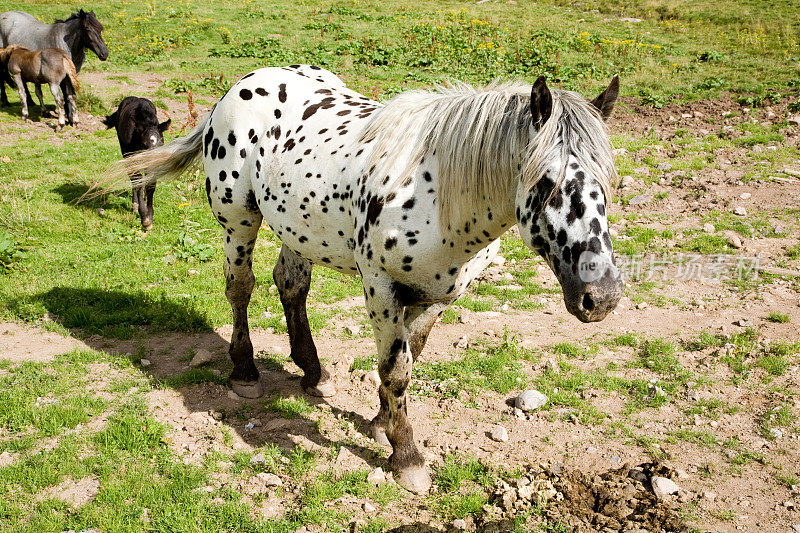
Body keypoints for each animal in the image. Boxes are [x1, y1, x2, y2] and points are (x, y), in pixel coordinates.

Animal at [108, 64, 624, 492]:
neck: (437, 194)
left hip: (297, 228)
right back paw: (246, 371)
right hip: (238, 220)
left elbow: (409, 355)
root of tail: (237, 88)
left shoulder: (440, 295)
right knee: (241, 287)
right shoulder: (379, 284)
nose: (602, 297)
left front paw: (381, 424)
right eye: (546, 183)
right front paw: (408, 457)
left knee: (290, 284)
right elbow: (396, 369)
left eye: (608, 180)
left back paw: (314, 373)